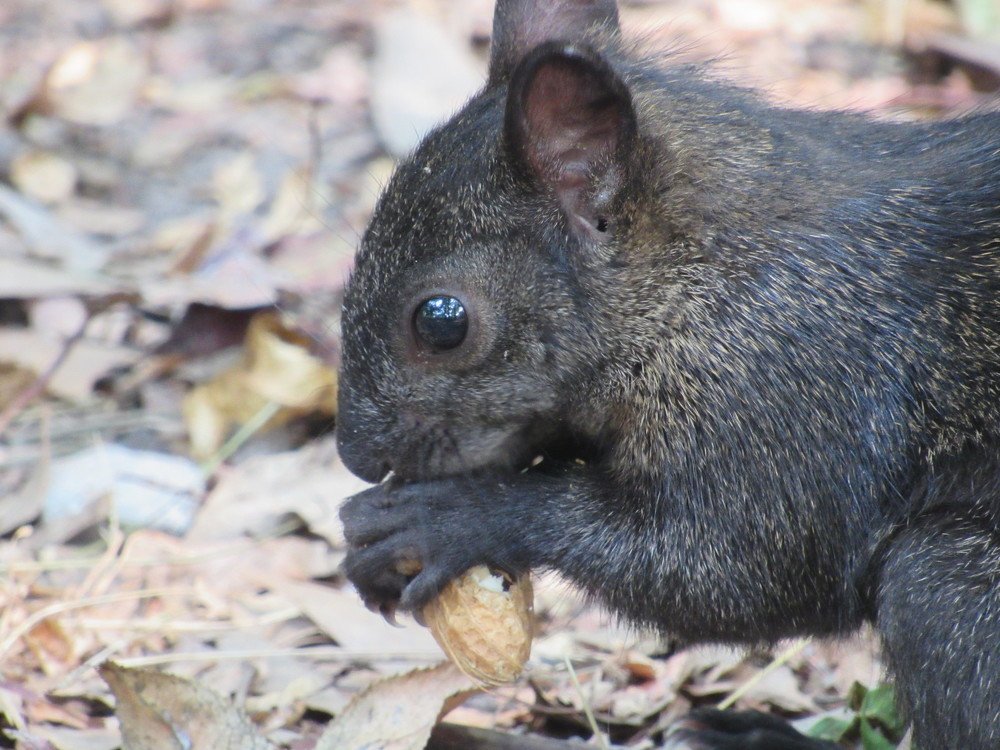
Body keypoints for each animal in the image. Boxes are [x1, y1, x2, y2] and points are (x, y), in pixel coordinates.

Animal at [335, 0, 1000, 747]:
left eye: (441, 322)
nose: (355, 454)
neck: (694, 273)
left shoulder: (786, 390)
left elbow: (733, 568)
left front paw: (449, 519)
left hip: (949, 589)